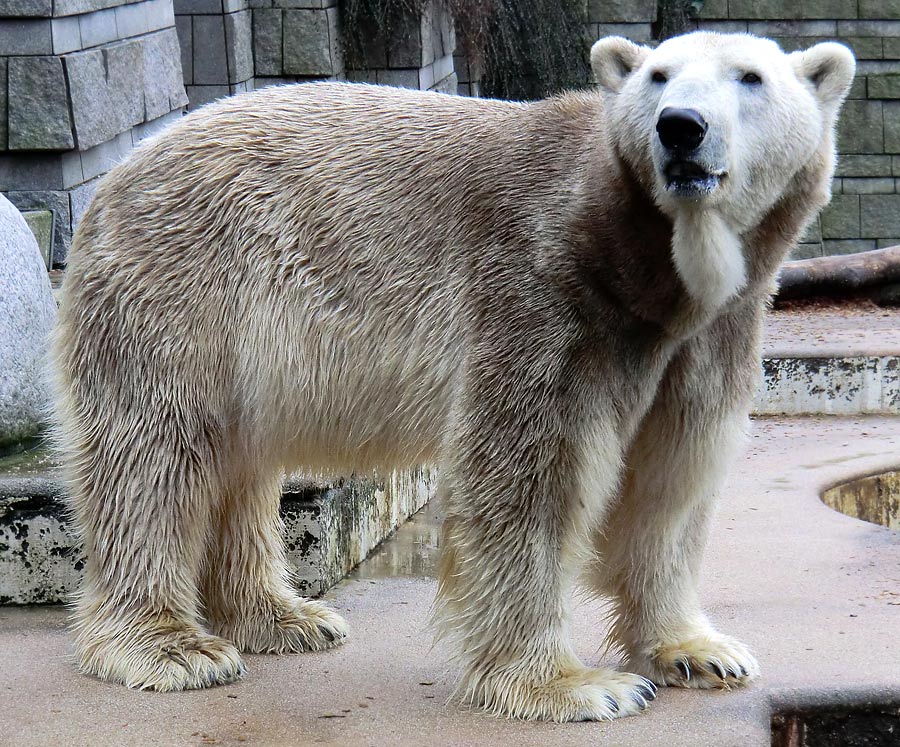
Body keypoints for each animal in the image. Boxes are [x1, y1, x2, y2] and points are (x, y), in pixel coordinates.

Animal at [52, 32, 856, 720]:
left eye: (750, 77)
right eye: (658, 76)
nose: (680, 126)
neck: (638, 262)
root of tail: (117, 177)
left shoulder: (715, 328)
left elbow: (675, 473)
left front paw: (698, 650)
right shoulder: (540, 289)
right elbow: (531, 470)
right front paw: (573, 685)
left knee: (237, 462)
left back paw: (285, 617)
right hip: (184, 286)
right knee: (155, 454)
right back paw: (172, 647)